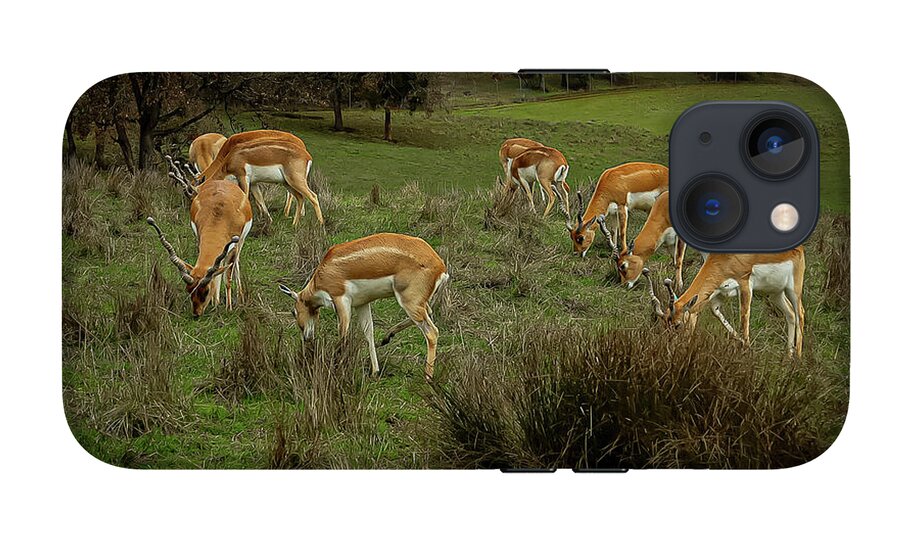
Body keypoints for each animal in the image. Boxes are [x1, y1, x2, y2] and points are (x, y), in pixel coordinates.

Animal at [149, 159, 252, 317]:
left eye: (206, 291)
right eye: (189, 290)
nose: (196, 313)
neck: (220, 215)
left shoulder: (233, 245)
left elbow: (227, 277)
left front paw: (228, 308)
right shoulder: (200, 238)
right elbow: (216, 272)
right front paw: (215, 303)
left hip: (240, 242)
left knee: (235, 264)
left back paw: (239, 295)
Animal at [278, 233, 449, 380]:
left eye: (293, 312)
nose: (306, 337)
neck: (323, 273)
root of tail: (440, 266)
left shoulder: (341, 300)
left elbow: (343, 334)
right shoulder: (362, 304)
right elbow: (368, 333)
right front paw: (375, 371)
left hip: (409, 301)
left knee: (432, 332)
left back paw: (427, 376)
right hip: (417, 303)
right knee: (428, 313)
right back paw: (387, 337)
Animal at [644, 247, 806, 357]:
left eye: (678, 325)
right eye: (664, 324)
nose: (670, 348)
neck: (726, 258)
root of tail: (800, 249)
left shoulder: (745, 285)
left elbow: (744, 317)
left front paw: (746, 349)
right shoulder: (719, 293)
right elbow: (717, 313)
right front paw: (742, 343)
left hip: (793, 289)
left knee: (800, 314)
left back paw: (797, 358)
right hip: (775, 293)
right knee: (790, 314)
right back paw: (788, 355)